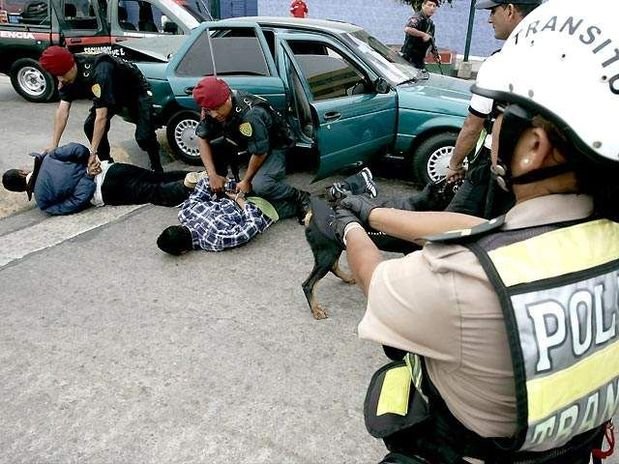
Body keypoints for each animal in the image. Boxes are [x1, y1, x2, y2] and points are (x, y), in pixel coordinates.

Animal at [302, 178, 462, 320]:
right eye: (456, 187)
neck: (422, 205)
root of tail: (311, 215)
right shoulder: (410, 251)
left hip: (333, 248)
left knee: (333, 267)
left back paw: (347, 278)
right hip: (327, 253)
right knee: (308, 284)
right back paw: (316, 309)